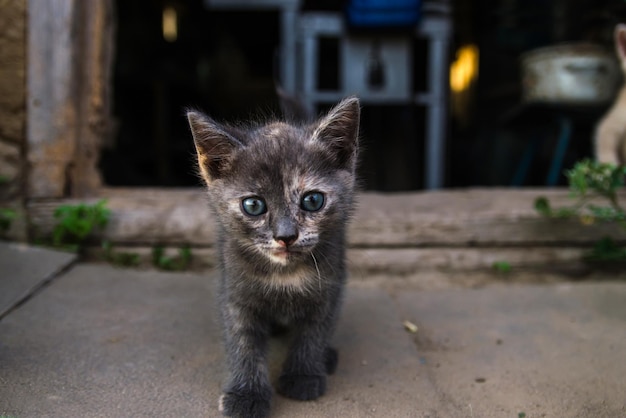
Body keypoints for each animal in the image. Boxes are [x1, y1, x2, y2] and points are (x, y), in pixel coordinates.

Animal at [185, 96, 358, 416]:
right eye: (253, 205)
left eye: (312, 200)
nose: (286, 236)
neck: (284, 273)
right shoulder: (235, 291)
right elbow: (243, 343)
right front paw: (246, 395)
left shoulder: (330, 285)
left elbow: (314, 331)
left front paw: (303, 375)